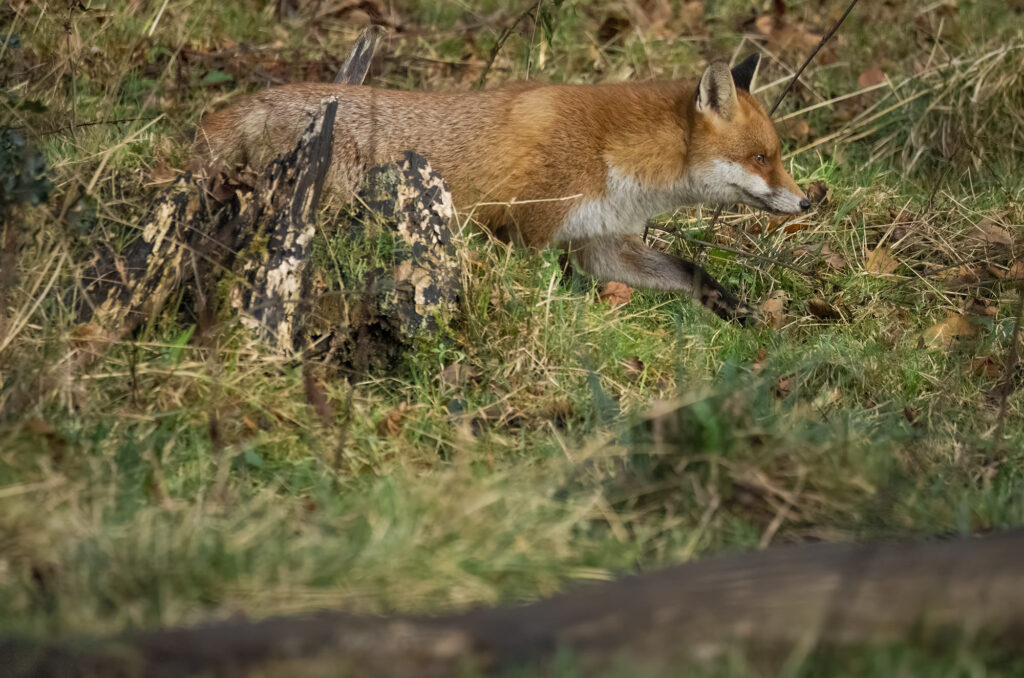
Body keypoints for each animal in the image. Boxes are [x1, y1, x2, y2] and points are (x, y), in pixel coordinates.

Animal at [193, 54, 806, 325]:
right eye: (761, 158)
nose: (807, 201)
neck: (615, 156)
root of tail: (253, 103)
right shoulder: (528, 231)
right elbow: (537, 295)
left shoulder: (601, 243)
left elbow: (690, 272)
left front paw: (739, 313)